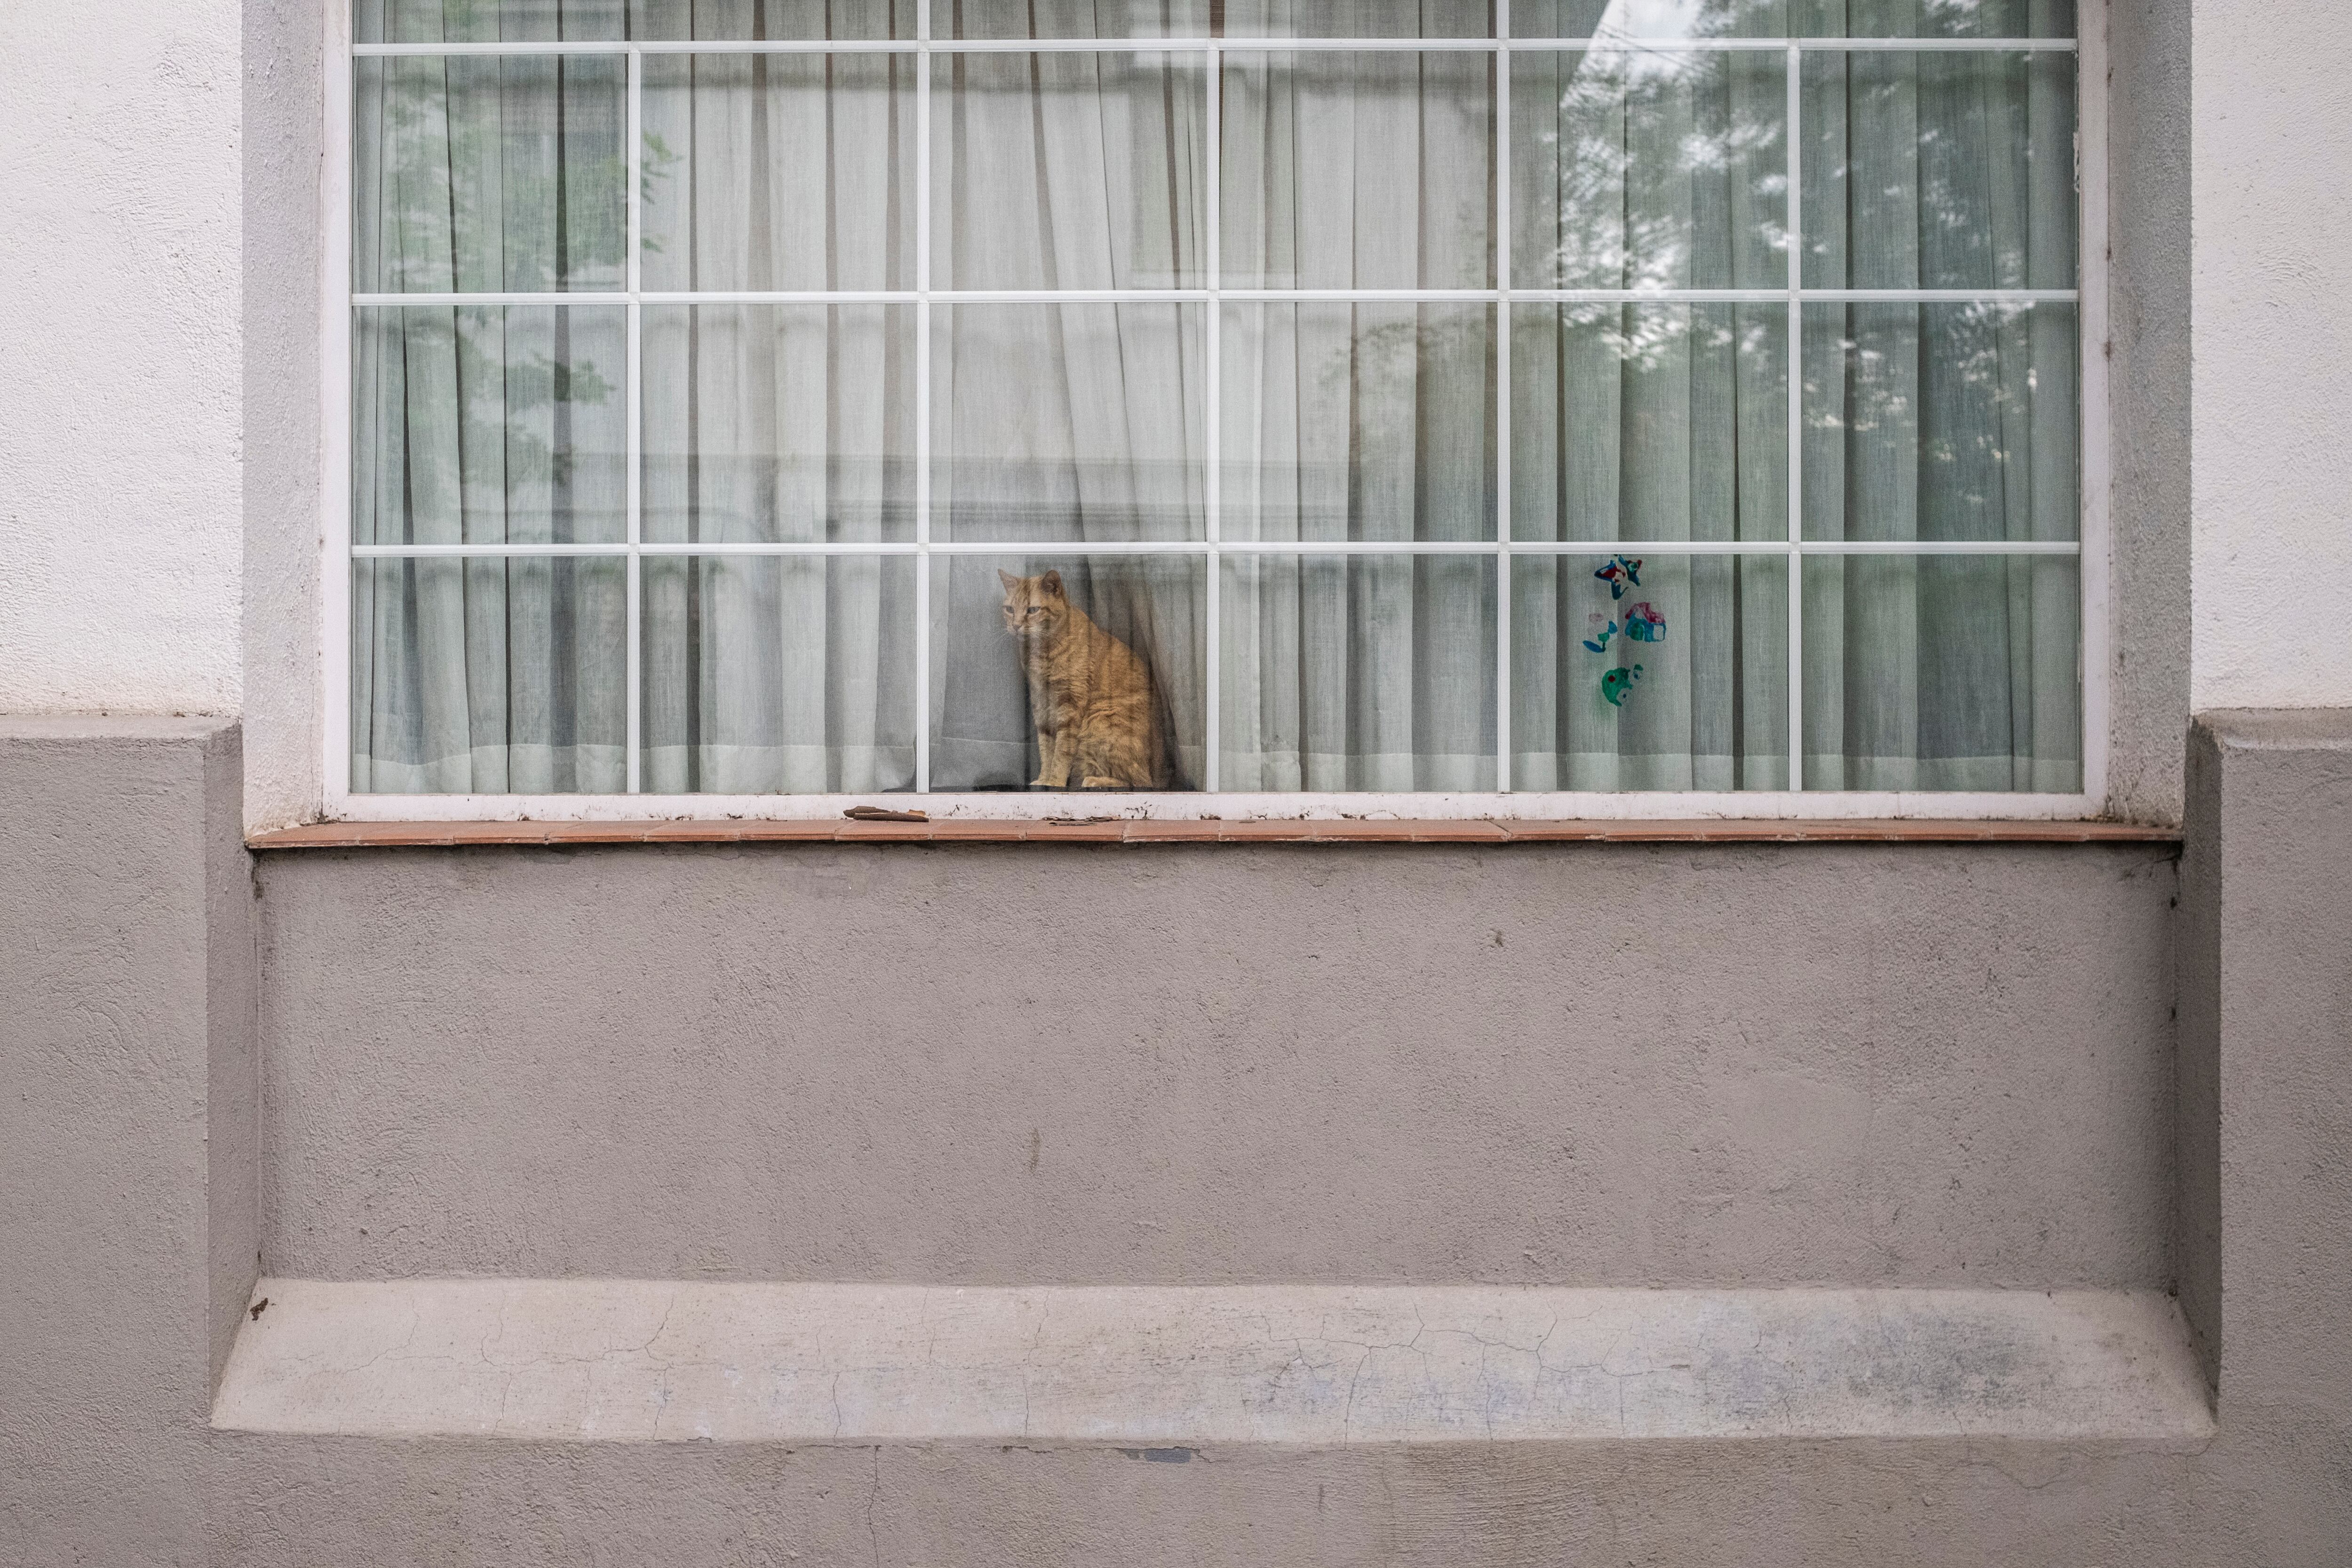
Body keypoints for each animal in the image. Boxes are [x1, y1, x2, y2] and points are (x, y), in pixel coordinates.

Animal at [997, 571, 1171, 790]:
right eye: (1010, 609)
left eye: (1033, 610)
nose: (1016, 625)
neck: (1042, 652)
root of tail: (1161, 771)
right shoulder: (1042, 706)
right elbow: (1046, 750)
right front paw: (1044, 779)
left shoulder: (1069, 707)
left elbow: (1061, 753)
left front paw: (1055, 782)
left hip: (1101, 721)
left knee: (1140, 781)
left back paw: (1095, 780)